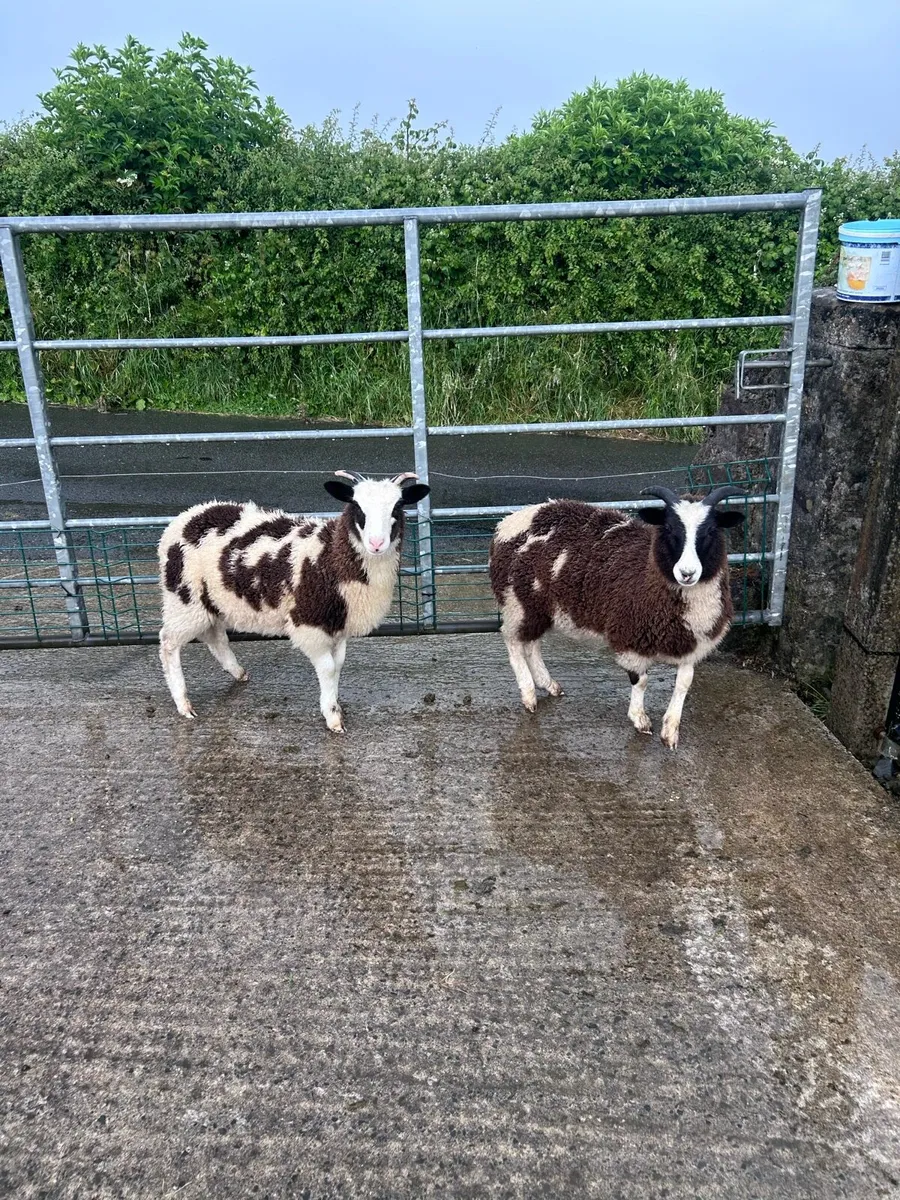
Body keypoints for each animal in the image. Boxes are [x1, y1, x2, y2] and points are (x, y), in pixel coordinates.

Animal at [157, 471, 430, 732]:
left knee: (214, 636)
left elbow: (338, 665)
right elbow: (328, 668)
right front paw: (333, 717)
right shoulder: (309, 621)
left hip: (208, 600)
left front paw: (335, 703)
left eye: (397, 506)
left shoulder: (337, 623)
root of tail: (186, 517)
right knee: (169, 643)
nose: (376, 543)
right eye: (356, 506)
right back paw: (184, 704)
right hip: (184, 597)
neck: (330, 555)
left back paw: (238, 672)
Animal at [488, 485, 746, 749]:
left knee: (531, 644)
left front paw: (670, 731)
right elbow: (640, 681)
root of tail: (509, 521)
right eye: (669, 528)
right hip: (517, 601)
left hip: (537, 608)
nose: (687, 573)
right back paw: (529, 694)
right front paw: (640, 720)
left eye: (712, 530)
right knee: (513, 641)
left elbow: (683, 684)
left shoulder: (691, 645)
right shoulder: (629, 637)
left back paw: (549, 685)